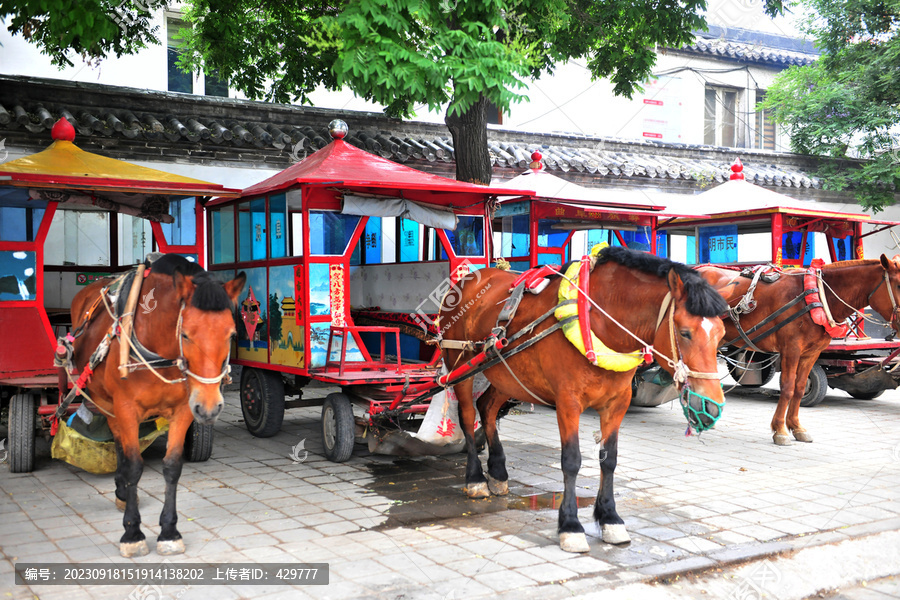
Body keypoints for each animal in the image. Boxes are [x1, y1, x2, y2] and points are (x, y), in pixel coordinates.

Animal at [67, 254, 244, 556]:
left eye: (231, 334)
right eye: (185, 335)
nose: (209, 408)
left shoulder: (185, 409)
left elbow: (172, 466)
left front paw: (169, 531)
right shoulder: (126, 407)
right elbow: (133, 466)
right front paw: (132, 533)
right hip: (104, 400)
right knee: (120, 444)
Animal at [440, 245, 728, 552]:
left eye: (721, 333)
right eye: (685, 332)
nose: (711, 406)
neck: (600, 322)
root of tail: (468, 280)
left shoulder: (618, 403)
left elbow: (609, 459)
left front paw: (610, 518)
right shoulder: (568, 402)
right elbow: (572, 460)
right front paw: (570, 525)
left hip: (505, 373)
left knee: (488, 409)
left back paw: (497, 471)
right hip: (460, 365)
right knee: (468, 415)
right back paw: (475, 478)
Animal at [700, 254, 900, 446]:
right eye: (898, 285)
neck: (818, 295)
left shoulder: (811, 353)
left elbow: (800, 387)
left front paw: (796, 427)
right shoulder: (791, 349)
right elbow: (788, 387)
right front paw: (780, 430)